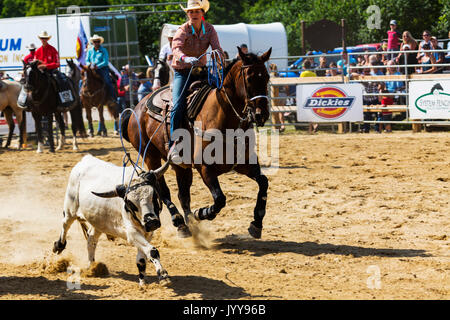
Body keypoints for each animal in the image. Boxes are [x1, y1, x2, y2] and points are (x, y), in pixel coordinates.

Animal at [121, 47, 272, 238]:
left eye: (266, 76)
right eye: (250, 78)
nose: (261, 114)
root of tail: (136, 108)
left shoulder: (245, 163)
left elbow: (263, 183)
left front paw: (256, 223)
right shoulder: (205, 168)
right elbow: (220, 199)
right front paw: (202, 213)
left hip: (180, 166)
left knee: (183, 194)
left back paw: (189, 221)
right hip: (150, 156)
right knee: (163, 189)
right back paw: (180, 223)